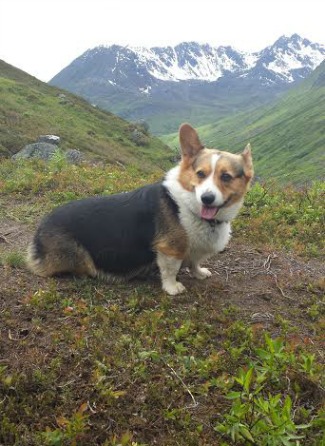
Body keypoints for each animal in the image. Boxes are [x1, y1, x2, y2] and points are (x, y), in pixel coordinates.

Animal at [26, 123, 252, 294]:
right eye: (200, 174)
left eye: (226, 177)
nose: (207, 198)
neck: (189, 206)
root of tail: (39, 231)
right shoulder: (170, 249)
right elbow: (170, 270)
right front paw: (173, 288)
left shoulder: (195, 249)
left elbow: (195, 261)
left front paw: (199, 273)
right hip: (80, 258)